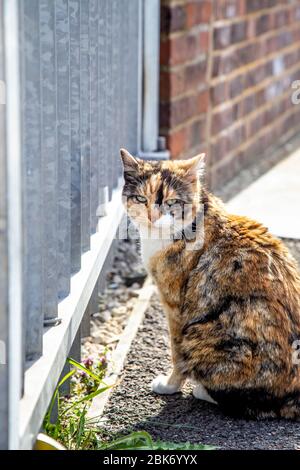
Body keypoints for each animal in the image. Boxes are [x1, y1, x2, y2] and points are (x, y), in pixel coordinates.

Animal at [120, 149, 300, 420]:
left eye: (172, 202)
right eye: (141, 199)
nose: (153, 217)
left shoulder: (175, 306)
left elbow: (176, 353)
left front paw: (170, 386)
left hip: (203, 331)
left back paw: (202, 390)